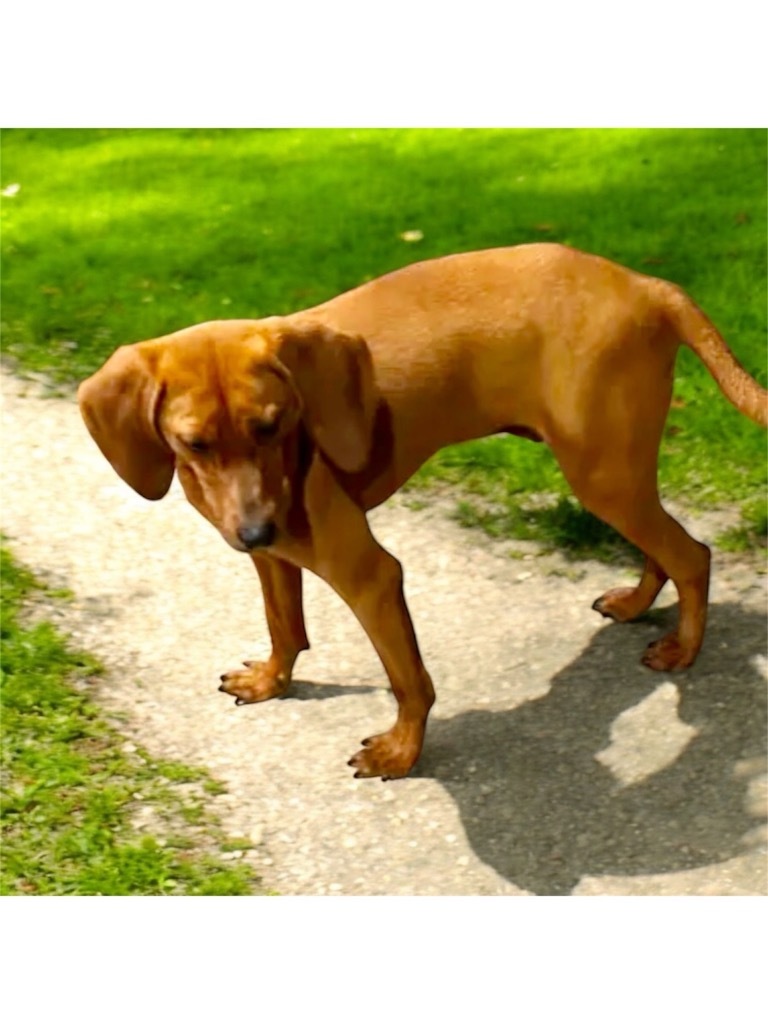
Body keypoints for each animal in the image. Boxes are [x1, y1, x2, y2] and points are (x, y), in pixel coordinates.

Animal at [75, 243, 765, 778]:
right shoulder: (273, 558)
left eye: (271, 426)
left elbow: (408, 679)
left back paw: (684, 649)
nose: (254, 528)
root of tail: (646, 284)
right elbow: (284, 624)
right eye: (194, 443)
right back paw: (638, 603)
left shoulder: (370, 574)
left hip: (604, 475)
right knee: (663, 548)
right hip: (614, 473)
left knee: (691, 554)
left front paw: (402, 753)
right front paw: (274, 681)